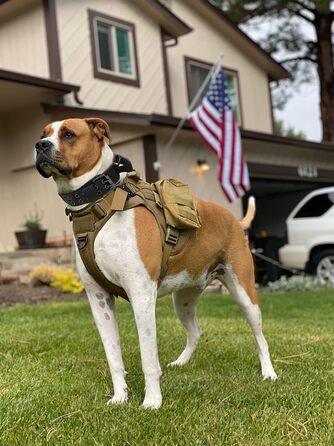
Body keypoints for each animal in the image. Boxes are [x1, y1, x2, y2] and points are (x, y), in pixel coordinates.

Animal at [35, 117, 278, 408]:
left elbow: (148, 358)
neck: (98, 203)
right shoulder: (99, 301)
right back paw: (181, 362)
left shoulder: (141, 298)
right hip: (183, 300)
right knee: (196, 332)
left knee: (261, 338)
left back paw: (269, 373)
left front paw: (152, 402)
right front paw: (120, 397)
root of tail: (235, 219)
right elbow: (113, 356)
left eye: (68, 134)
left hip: (244, 294)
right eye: (44, 133)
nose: (40, 145)